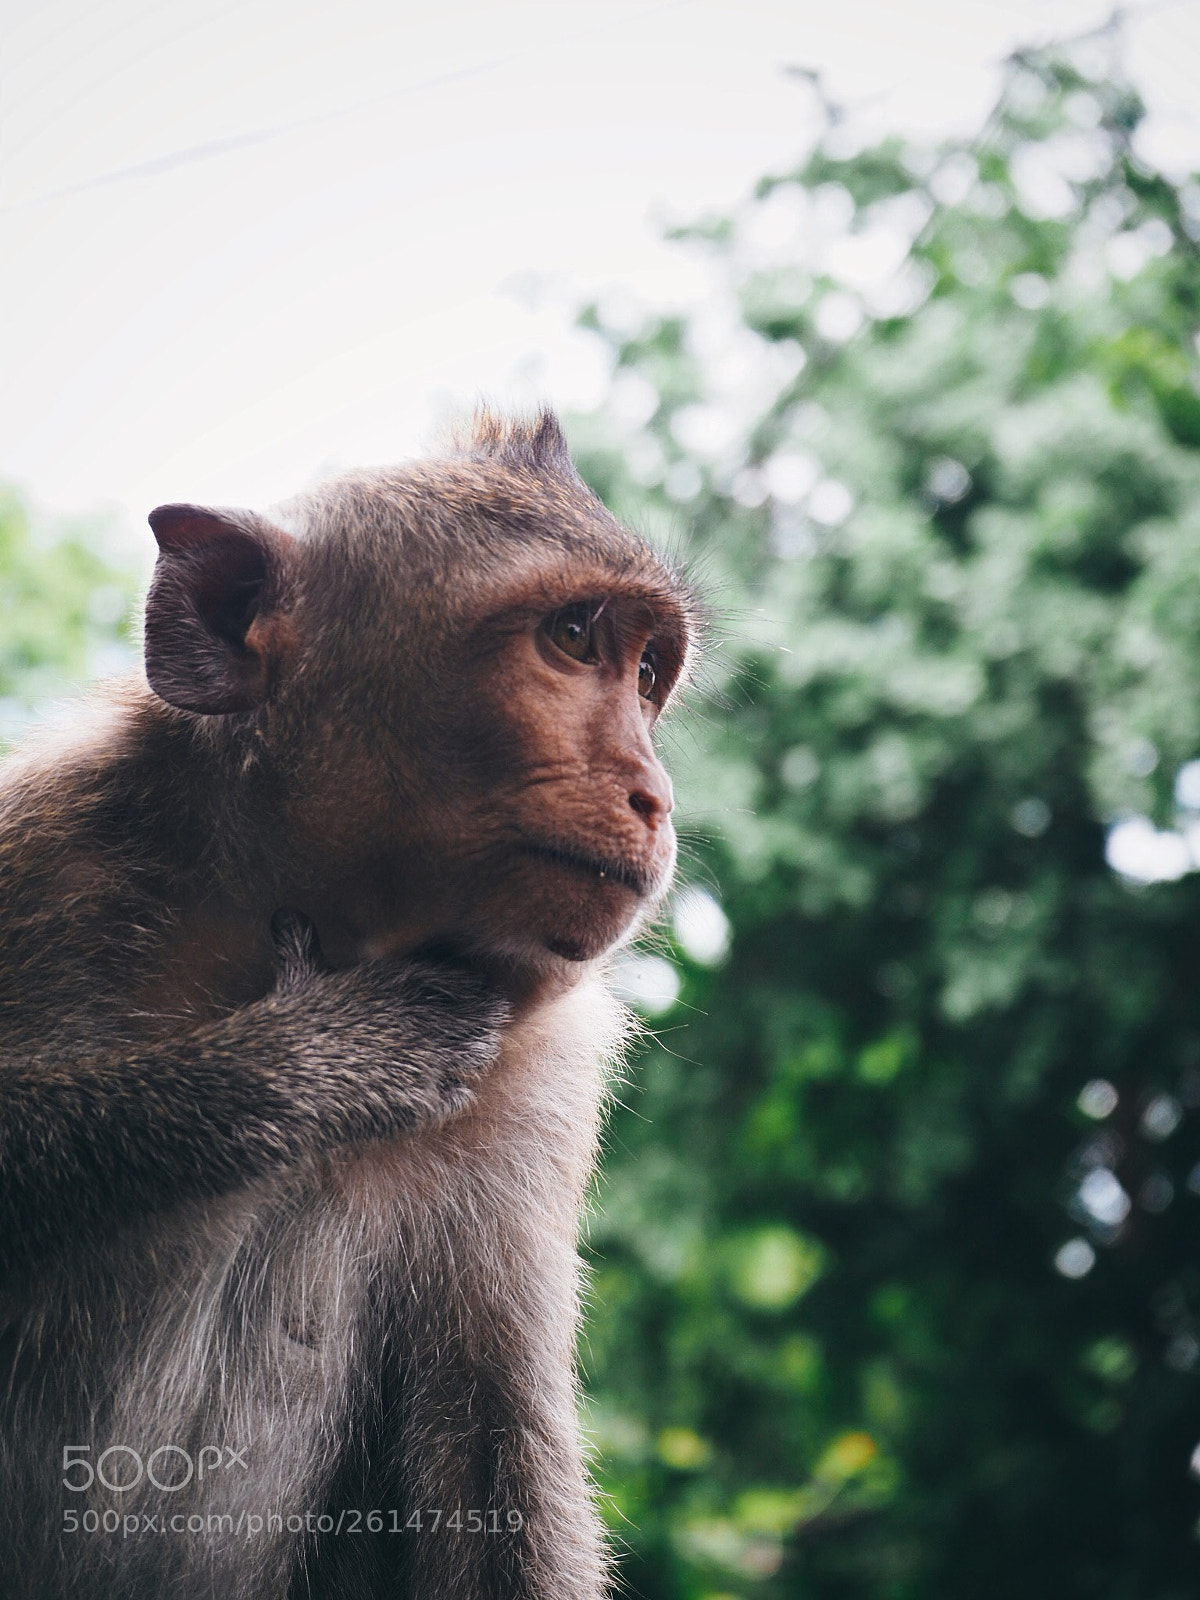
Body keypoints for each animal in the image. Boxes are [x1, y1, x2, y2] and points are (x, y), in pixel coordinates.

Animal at [0, 410, 698, 1600]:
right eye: (571, 638)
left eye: (648, 670)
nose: (655, 796)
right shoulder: (48, 859)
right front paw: (310, 1061)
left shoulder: (542, 1073)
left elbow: (494, 1467)